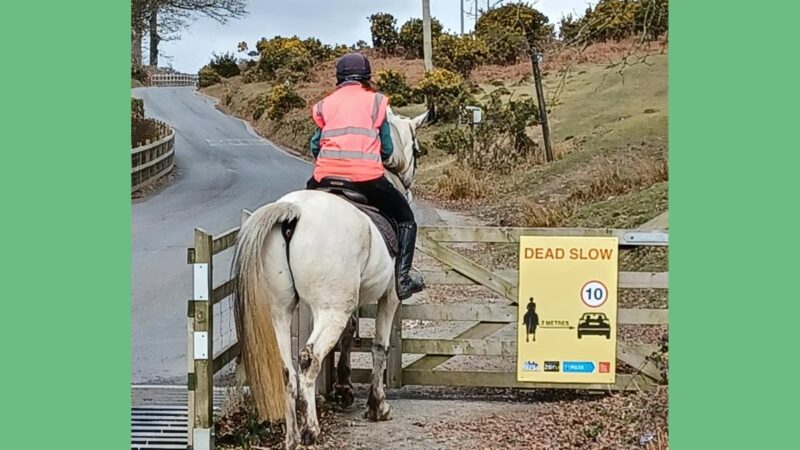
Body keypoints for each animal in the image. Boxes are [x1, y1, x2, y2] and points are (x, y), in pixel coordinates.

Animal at [231, 107, 432, 448]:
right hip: (330, 310)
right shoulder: (389, 297)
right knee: (309, 359)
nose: (409, 184)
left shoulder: (349, 301)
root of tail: (294, 212)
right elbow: (379, 345)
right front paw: (377, 405)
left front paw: (344, 388)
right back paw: (311, 429)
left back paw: (292, 436)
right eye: (416, 150)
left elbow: (349, 335)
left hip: (282, 310)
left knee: (287, 369)